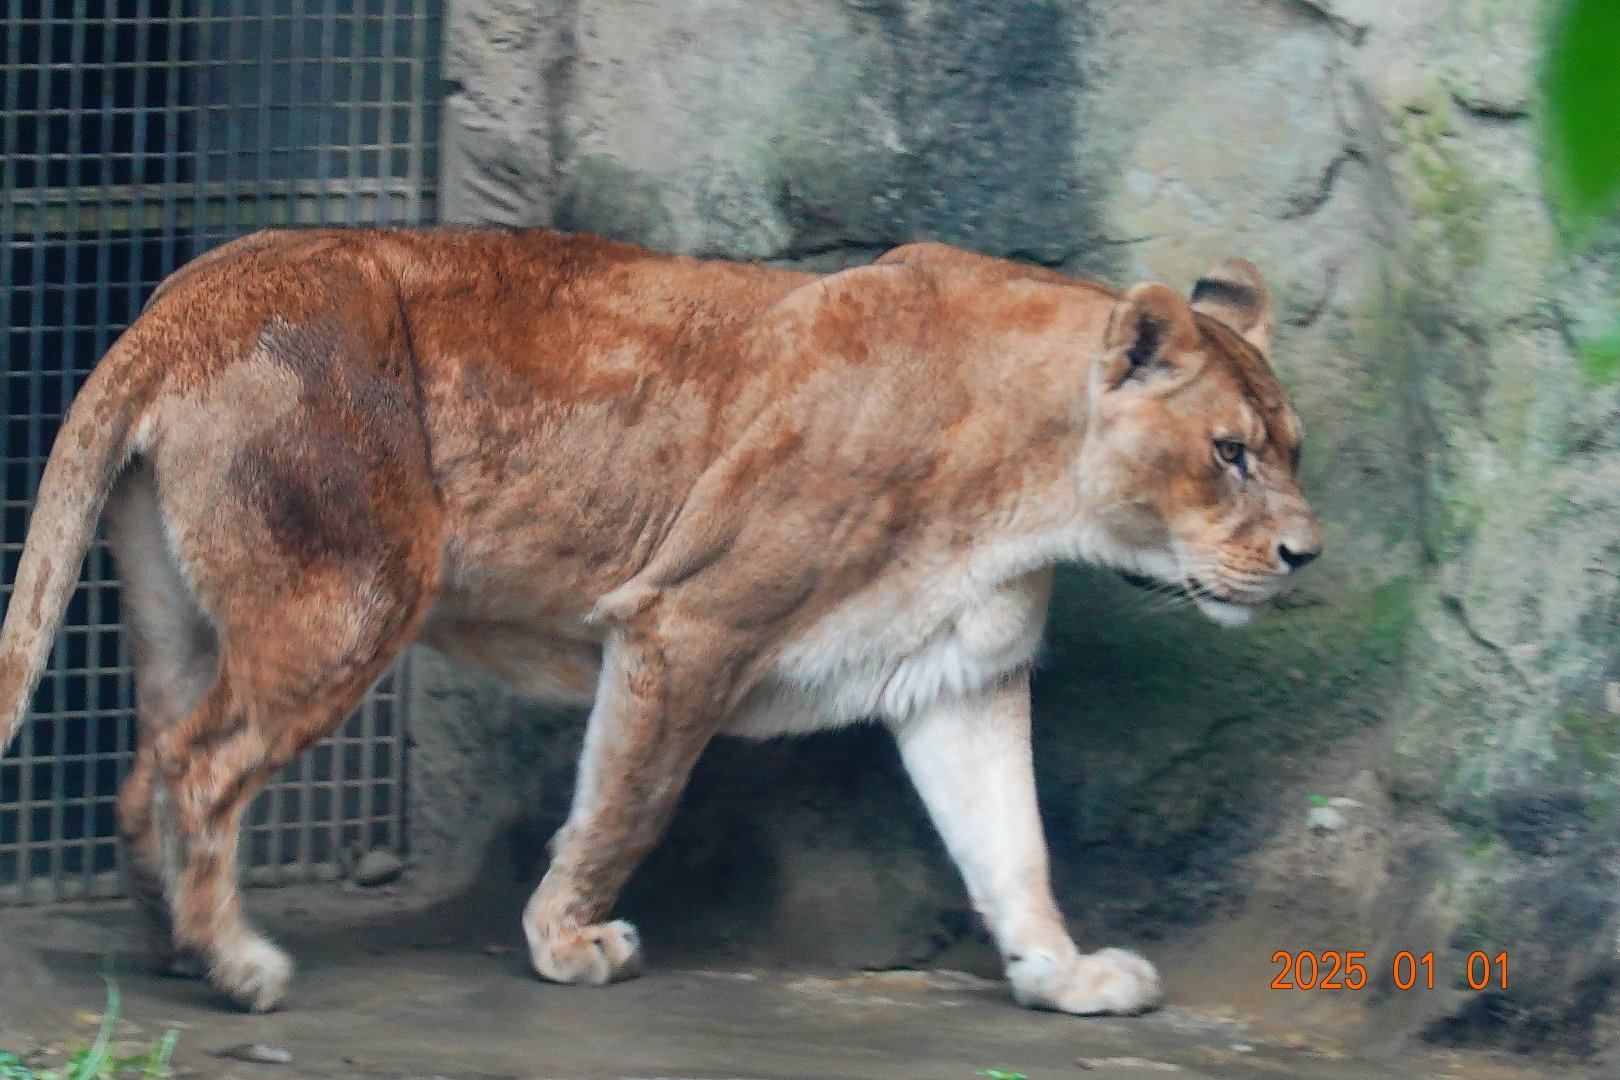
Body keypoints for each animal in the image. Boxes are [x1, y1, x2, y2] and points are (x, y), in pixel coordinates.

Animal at [0, 228, 1319, 1015]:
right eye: (1230, 454)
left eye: (1291, 449)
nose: (1306, 556)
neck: (1030, 493)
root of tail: (189, 291)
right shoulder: (688, 623)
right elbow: (623, 805)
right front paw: (565, 942)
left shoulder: (960, 675)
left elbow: (1012, 844)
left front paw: (1062, 973)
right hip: (350, 593)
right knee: (204, 766)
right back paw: (235, 965)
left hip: (183, 608)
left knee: (147, 765)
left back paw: (175, 945)